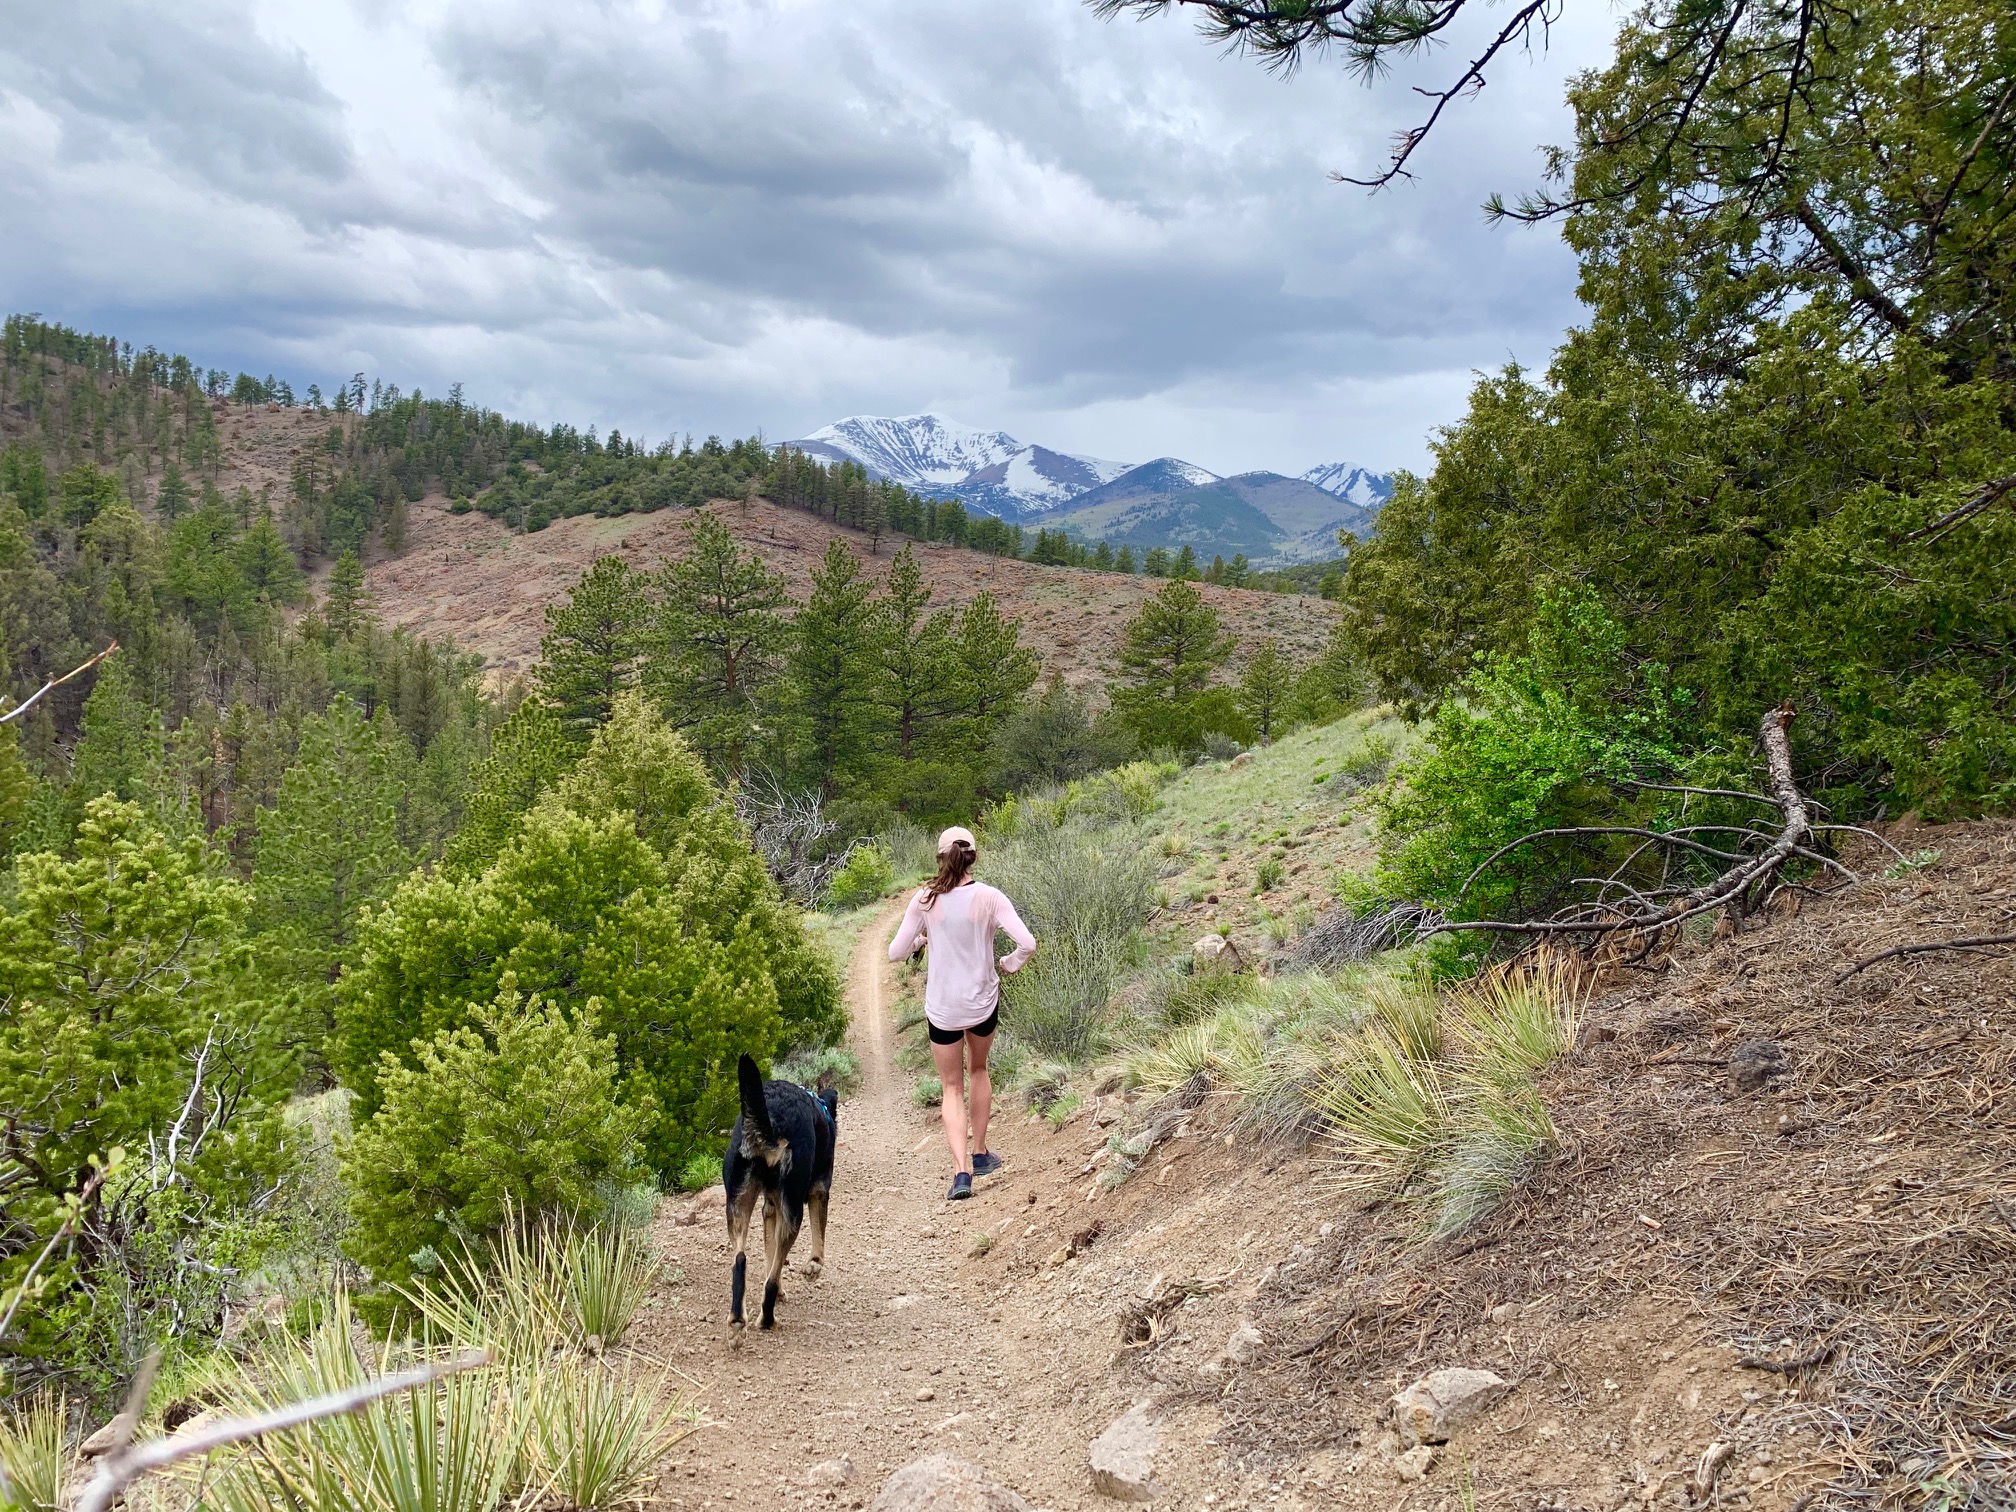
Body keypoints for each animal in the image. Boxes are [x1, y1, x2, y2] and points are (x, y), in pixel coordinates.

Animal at [725, 1056, 834, 1330]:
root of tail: (773, 1120)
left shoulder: (770, 1208)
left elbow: (769, 1253)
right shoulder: (819, 1190)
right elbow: (818, 1239)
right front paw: (814, 1265)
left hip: (737, 1204)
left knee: (740, 1259)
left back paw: (737, 1320)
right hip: (793, 1212)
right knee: (771, 1280)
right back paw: (767, 1320)